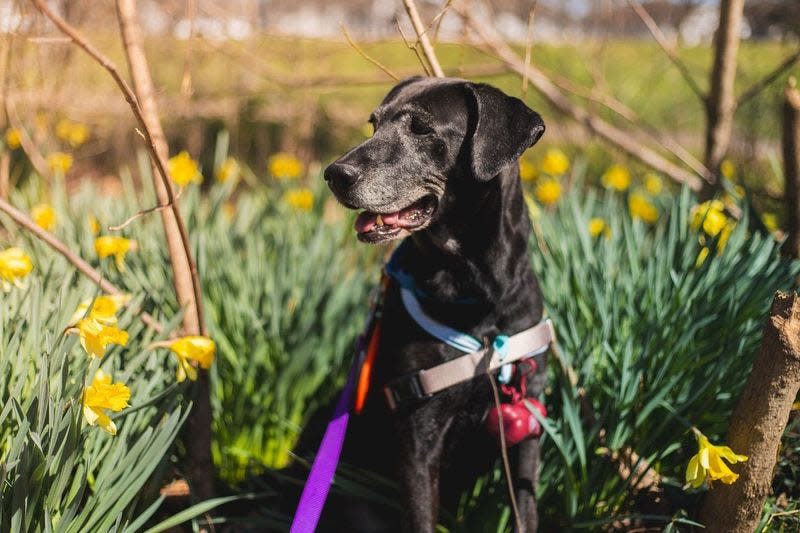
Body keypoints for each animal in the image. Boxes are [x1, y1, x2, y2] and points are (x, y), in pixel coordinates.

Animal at [322, 77, 548, 528]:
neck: (478, 294)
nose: (334, 173)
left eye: (422, 129)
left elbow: (526, 514)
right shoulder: (418, 434)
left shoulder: (526, 431)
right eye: (373, 124)